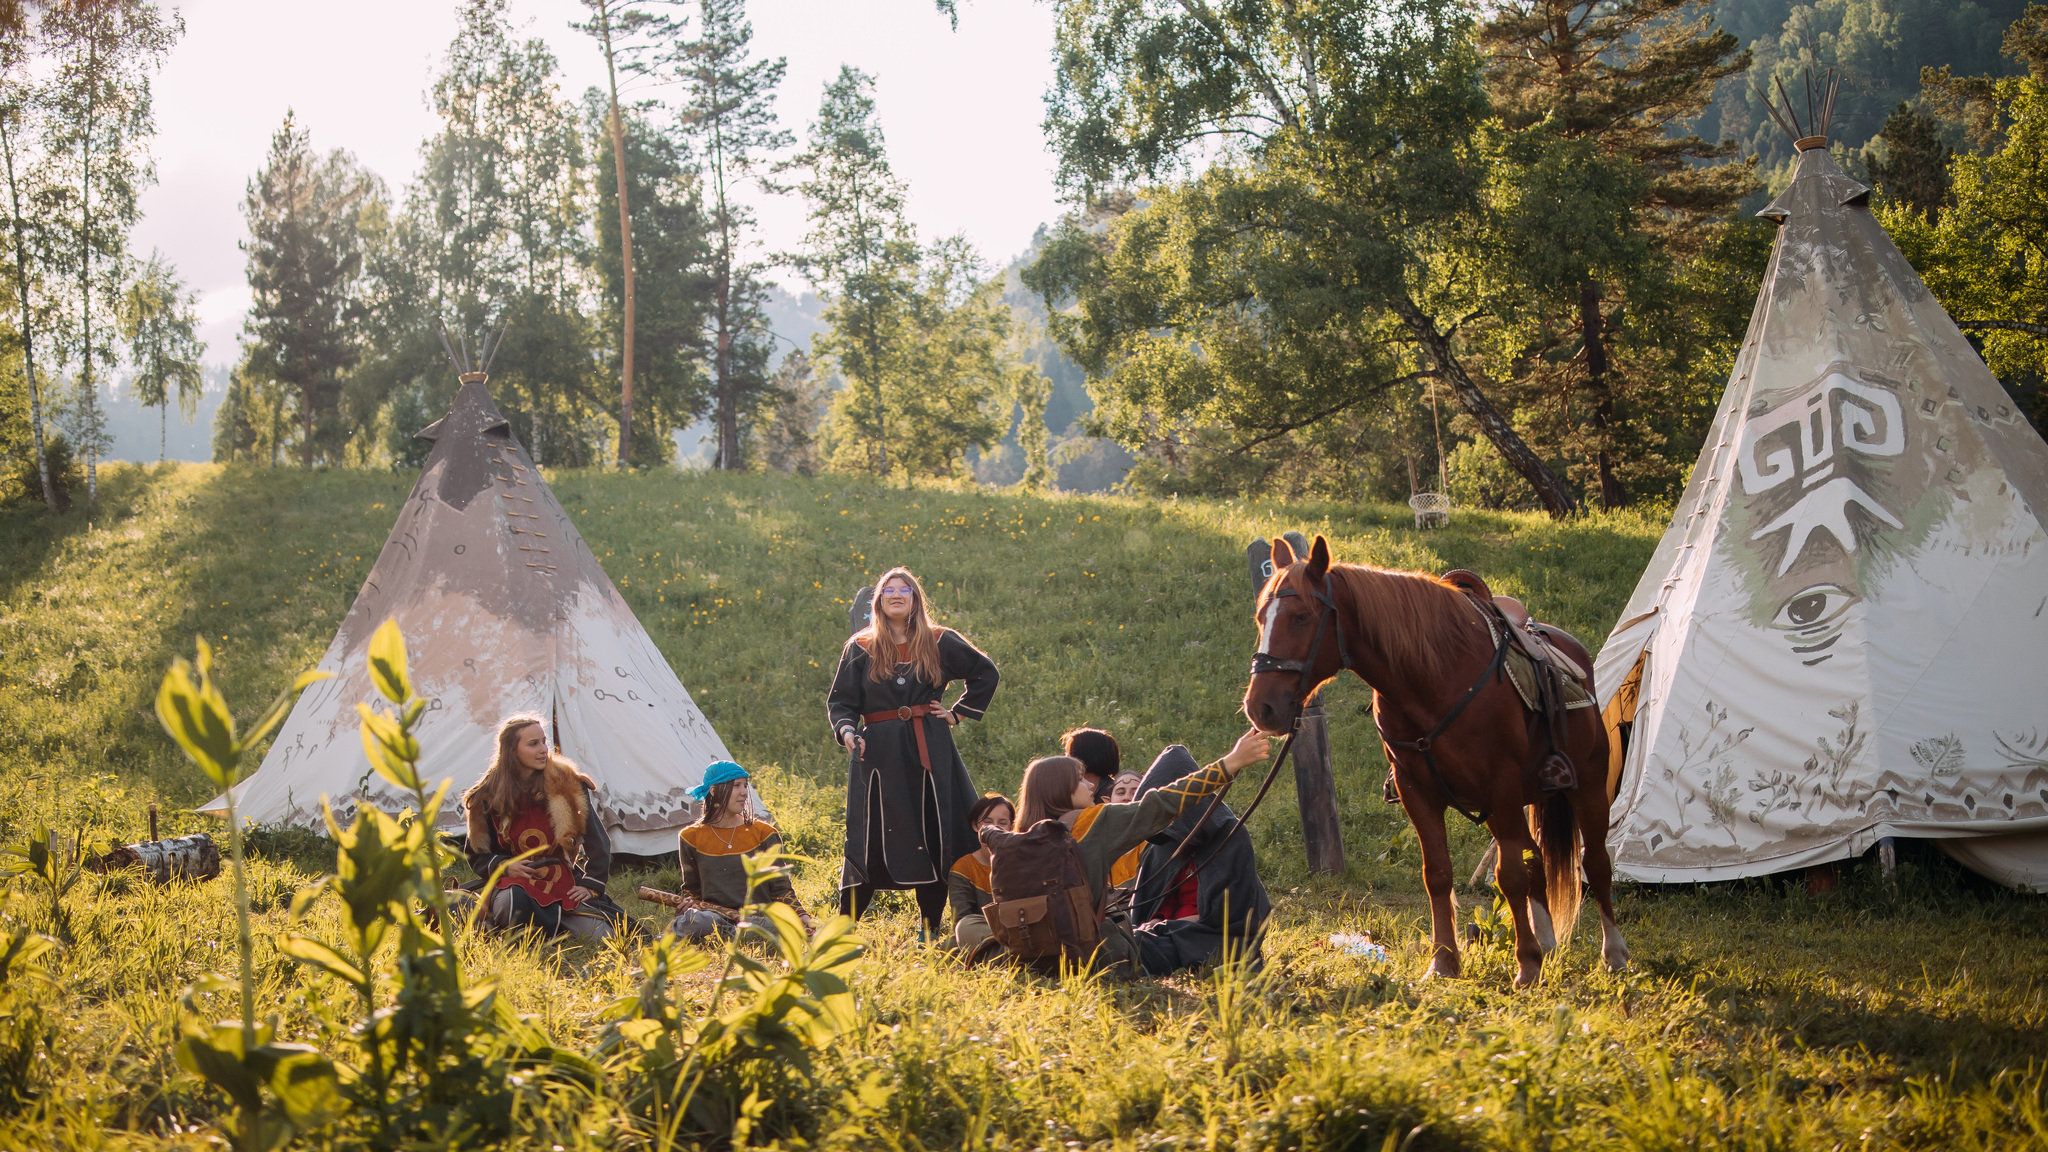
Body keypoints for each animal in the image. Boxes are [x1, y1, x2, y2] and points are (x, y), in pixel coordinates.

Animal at [1228, 532, 1630, 983]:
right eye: (1262, 617)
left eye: (1300, 616)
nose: (1260, 707)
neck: (1433, 679)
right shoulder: (1417, 791)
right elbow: (1438, 873)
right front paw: (1444, 961)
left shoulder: (1502, 787)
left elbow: (1509, 876)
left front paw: (1526, 965)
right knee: (1536, 860)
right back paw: (1547, 943)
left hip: (1586, 787)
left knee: (1595, 863)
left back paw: (1613, 953)